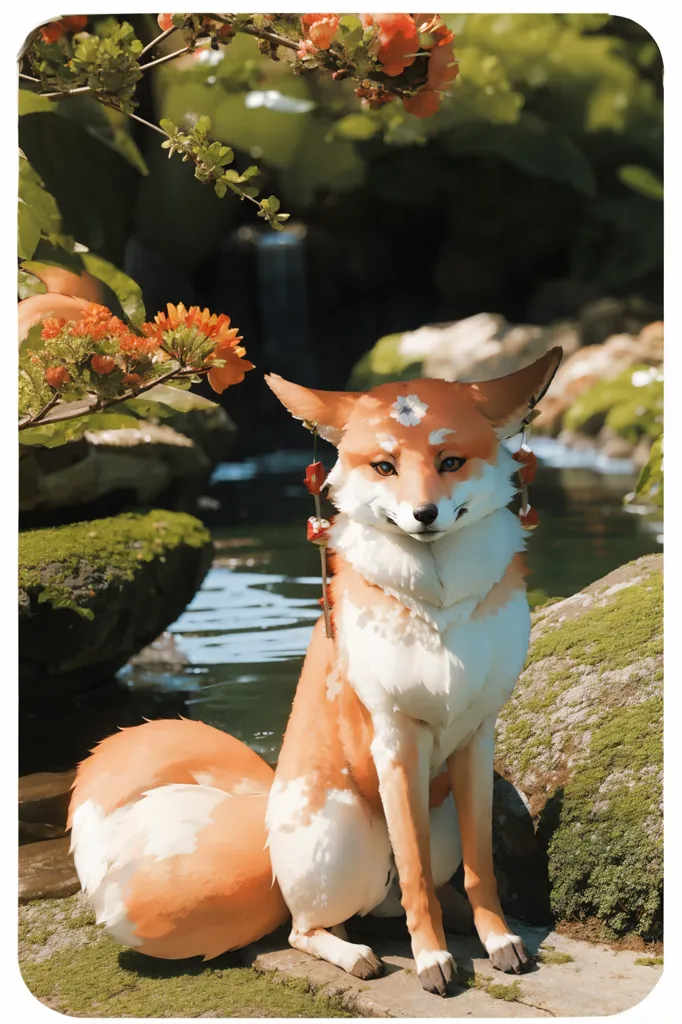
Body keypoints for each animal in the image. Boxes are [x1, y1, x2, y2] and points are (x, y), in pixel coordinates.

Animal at [66, 348, 561, 995]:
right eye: (384, 465)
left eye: (450, 461)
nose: (423, 514)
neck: (438, 606)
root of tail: (269, 840)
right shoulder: (393, 737)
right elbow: (413, 872)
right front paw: (430, 958)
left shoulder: (477, 737)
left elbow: (480, 869)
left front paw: (497, 938)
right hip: (343, 834)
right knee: (311, 926)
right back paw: (355, 953)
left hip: (439, 817)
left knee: (401, 897)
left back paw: (443, 919)